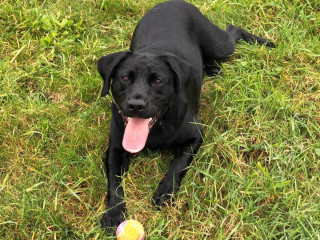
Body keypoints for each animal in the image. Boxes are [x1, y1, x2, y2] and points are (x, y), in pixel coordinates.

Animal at [96, 0, 274, 231]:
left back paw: (264, 42)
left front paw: (165, 193)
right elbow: (114, 181)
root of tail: (174, 2)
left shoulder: (195, 136)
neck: (157, 128)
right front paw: (114, 212)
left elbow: (178, 166)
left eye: (158, 81)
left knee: (233, 30)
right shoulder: (115, 148)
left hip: (220, 44)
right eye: (125, 78)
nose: (136, 105)